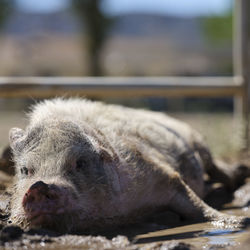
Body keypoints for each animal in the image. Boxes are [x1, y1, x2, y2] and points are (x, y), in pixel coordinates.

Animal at [7, 97, 248, 232]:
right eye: (25, 170)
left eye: (80, 163)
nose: (39, 186)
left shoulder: (160, 173)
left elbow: (198, 206)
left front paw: (238, 223)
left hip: (198, 141)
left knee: (216, 168)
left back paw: (241, 173)